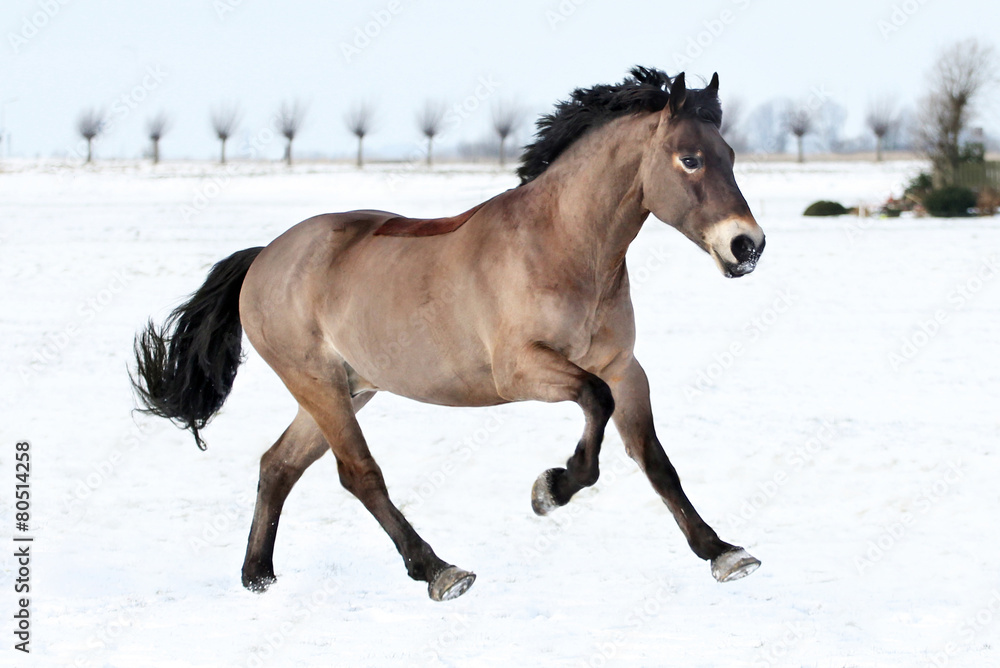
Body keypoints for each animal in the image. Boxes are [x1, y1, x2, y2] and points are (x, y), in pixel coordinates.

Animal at [132, 66, 766, 602]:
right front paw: (550, 489)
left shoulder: (625, 367)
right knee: (358, 475)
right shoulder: (521, 370)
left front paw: (723, 553)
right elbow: (595, 405)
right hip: (317, 385)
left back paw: (258, 576)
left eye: (730, 155)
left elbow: (655, 459)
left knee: (278, 465)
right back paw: (439, 570)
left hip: (348, 388)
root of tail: (265, 256)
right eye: (689, 160)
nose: (747, 246)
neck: (563, 246)